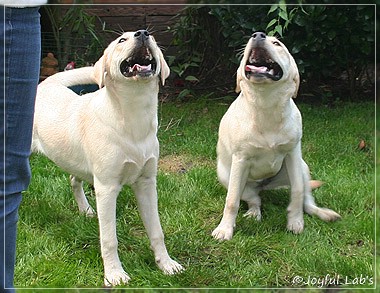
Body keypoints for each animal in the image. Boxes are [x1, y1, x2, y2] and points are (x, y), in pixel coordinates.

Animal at [31, 30, 183, 286]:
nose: (143, 33)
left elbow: (156, 230)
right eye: (122, 40)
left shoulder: (146, 183)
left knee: (73, 180)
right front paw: (114, 275)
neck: (133, 116)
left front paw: (166, 264)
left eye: (150, 37)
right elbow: (109, 239)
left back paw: (85, 210)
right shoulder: (107, 188)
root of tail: (47, 83)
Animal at [212, 32, 340, 240]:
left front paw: (295, 221)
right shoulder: (240, 160)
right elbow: (231, 200)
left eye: (277, 43)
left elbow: (297, 192)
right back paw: (253, 213)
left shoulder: (293, 155)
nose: (257, 35)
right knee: (254, 199)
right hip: (227, 176)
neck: (266, 105)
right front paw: (225, 229)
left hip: (303, 167)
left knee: (307, 201)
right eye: (249, 40)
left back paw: (322, 213)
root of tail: (264, 185)